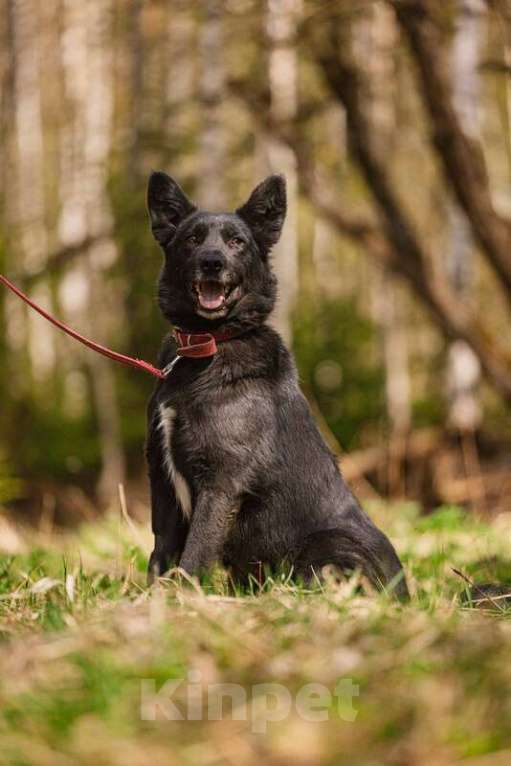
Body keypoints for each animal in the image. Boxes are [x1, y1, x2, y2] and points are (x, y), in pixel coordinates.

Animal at [146, 174, 410, 600]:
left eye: (237, 242)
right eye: (192, 239)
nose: (212, 263)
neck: (209, 346)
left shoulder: (221, 483)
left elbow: (195, 552)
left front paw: (183, 599)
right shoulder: (161, 479)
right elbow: (160, 553)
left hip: (328, 546)